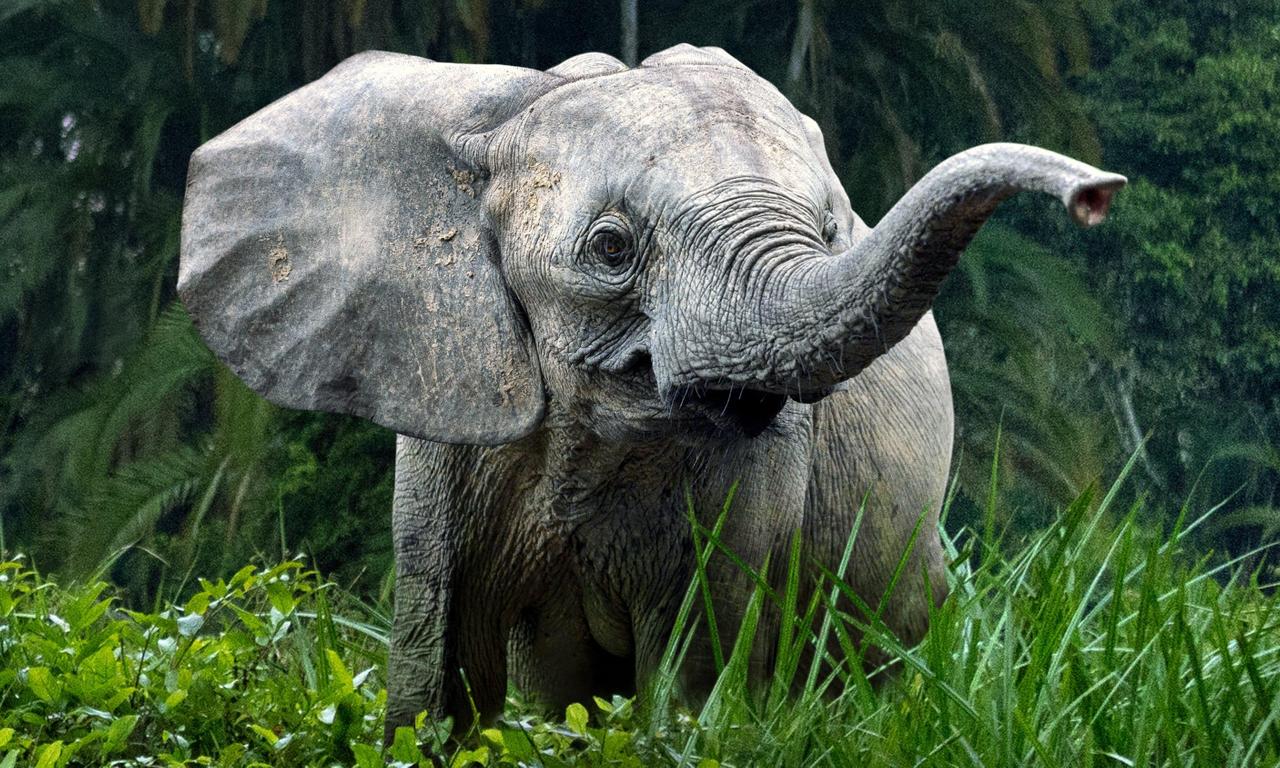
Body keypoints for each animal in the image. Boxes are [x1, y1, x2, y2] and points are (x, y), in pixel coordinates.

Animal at [177, 44, 1124, 738]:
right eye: (610, 247)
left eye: (830, 232)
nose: (1096, 193)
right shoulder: (450, 407)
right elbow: (440, 669)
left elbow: (694, 667)